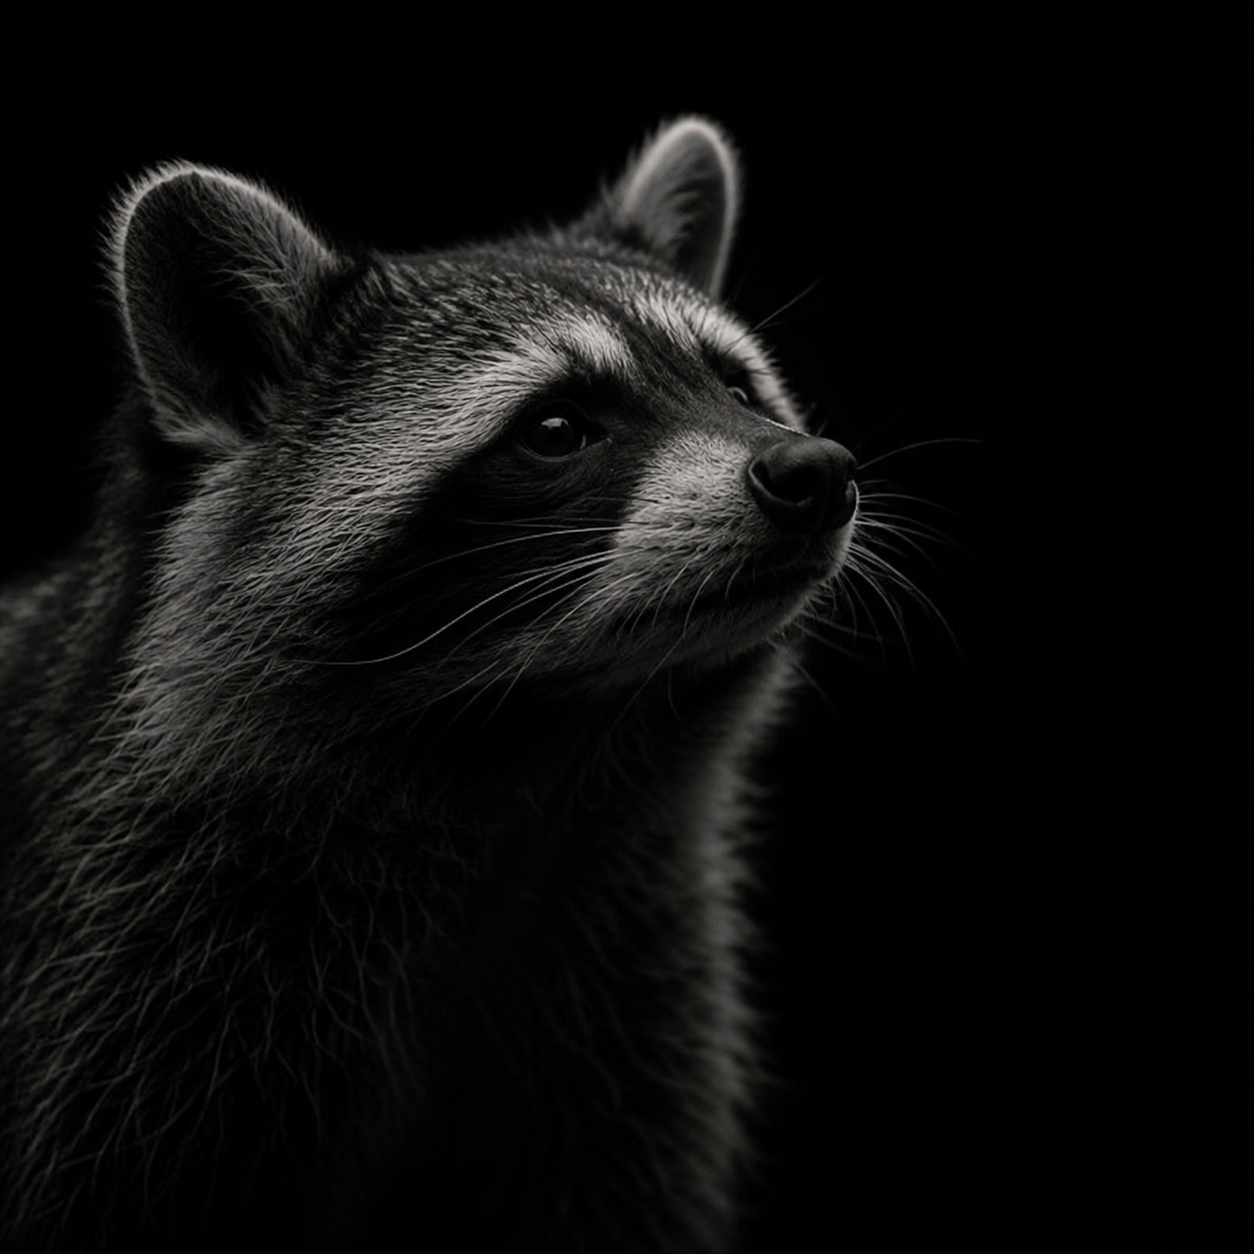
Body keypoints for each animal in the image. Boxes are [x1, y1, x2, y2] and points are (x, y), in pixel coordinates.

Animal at [0, 119, 857, 1252]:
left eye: (738, 388)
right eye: (555, 428)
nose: (816, 473)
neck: (549, 768)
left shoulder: (633, 1012)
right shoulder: (126, 1007)